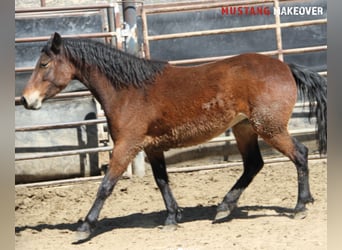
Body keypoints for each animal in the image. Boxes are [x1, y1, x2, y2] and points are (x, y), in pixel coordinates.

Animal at [20, 32, 326, 241]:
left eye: (44, 63)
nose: (25, 100)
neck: (128, 91)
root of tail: (286, 68)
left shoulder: (125, 146)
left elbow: (106, 186)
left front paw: (84, 227)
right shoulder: (152, 148)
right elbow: (162, 182)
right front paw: (172, 217)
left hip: (269, 128)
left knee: (300, 155)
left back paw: (300, 205)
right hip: (245, 128)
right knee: (253, 165)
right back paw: (224, 208)